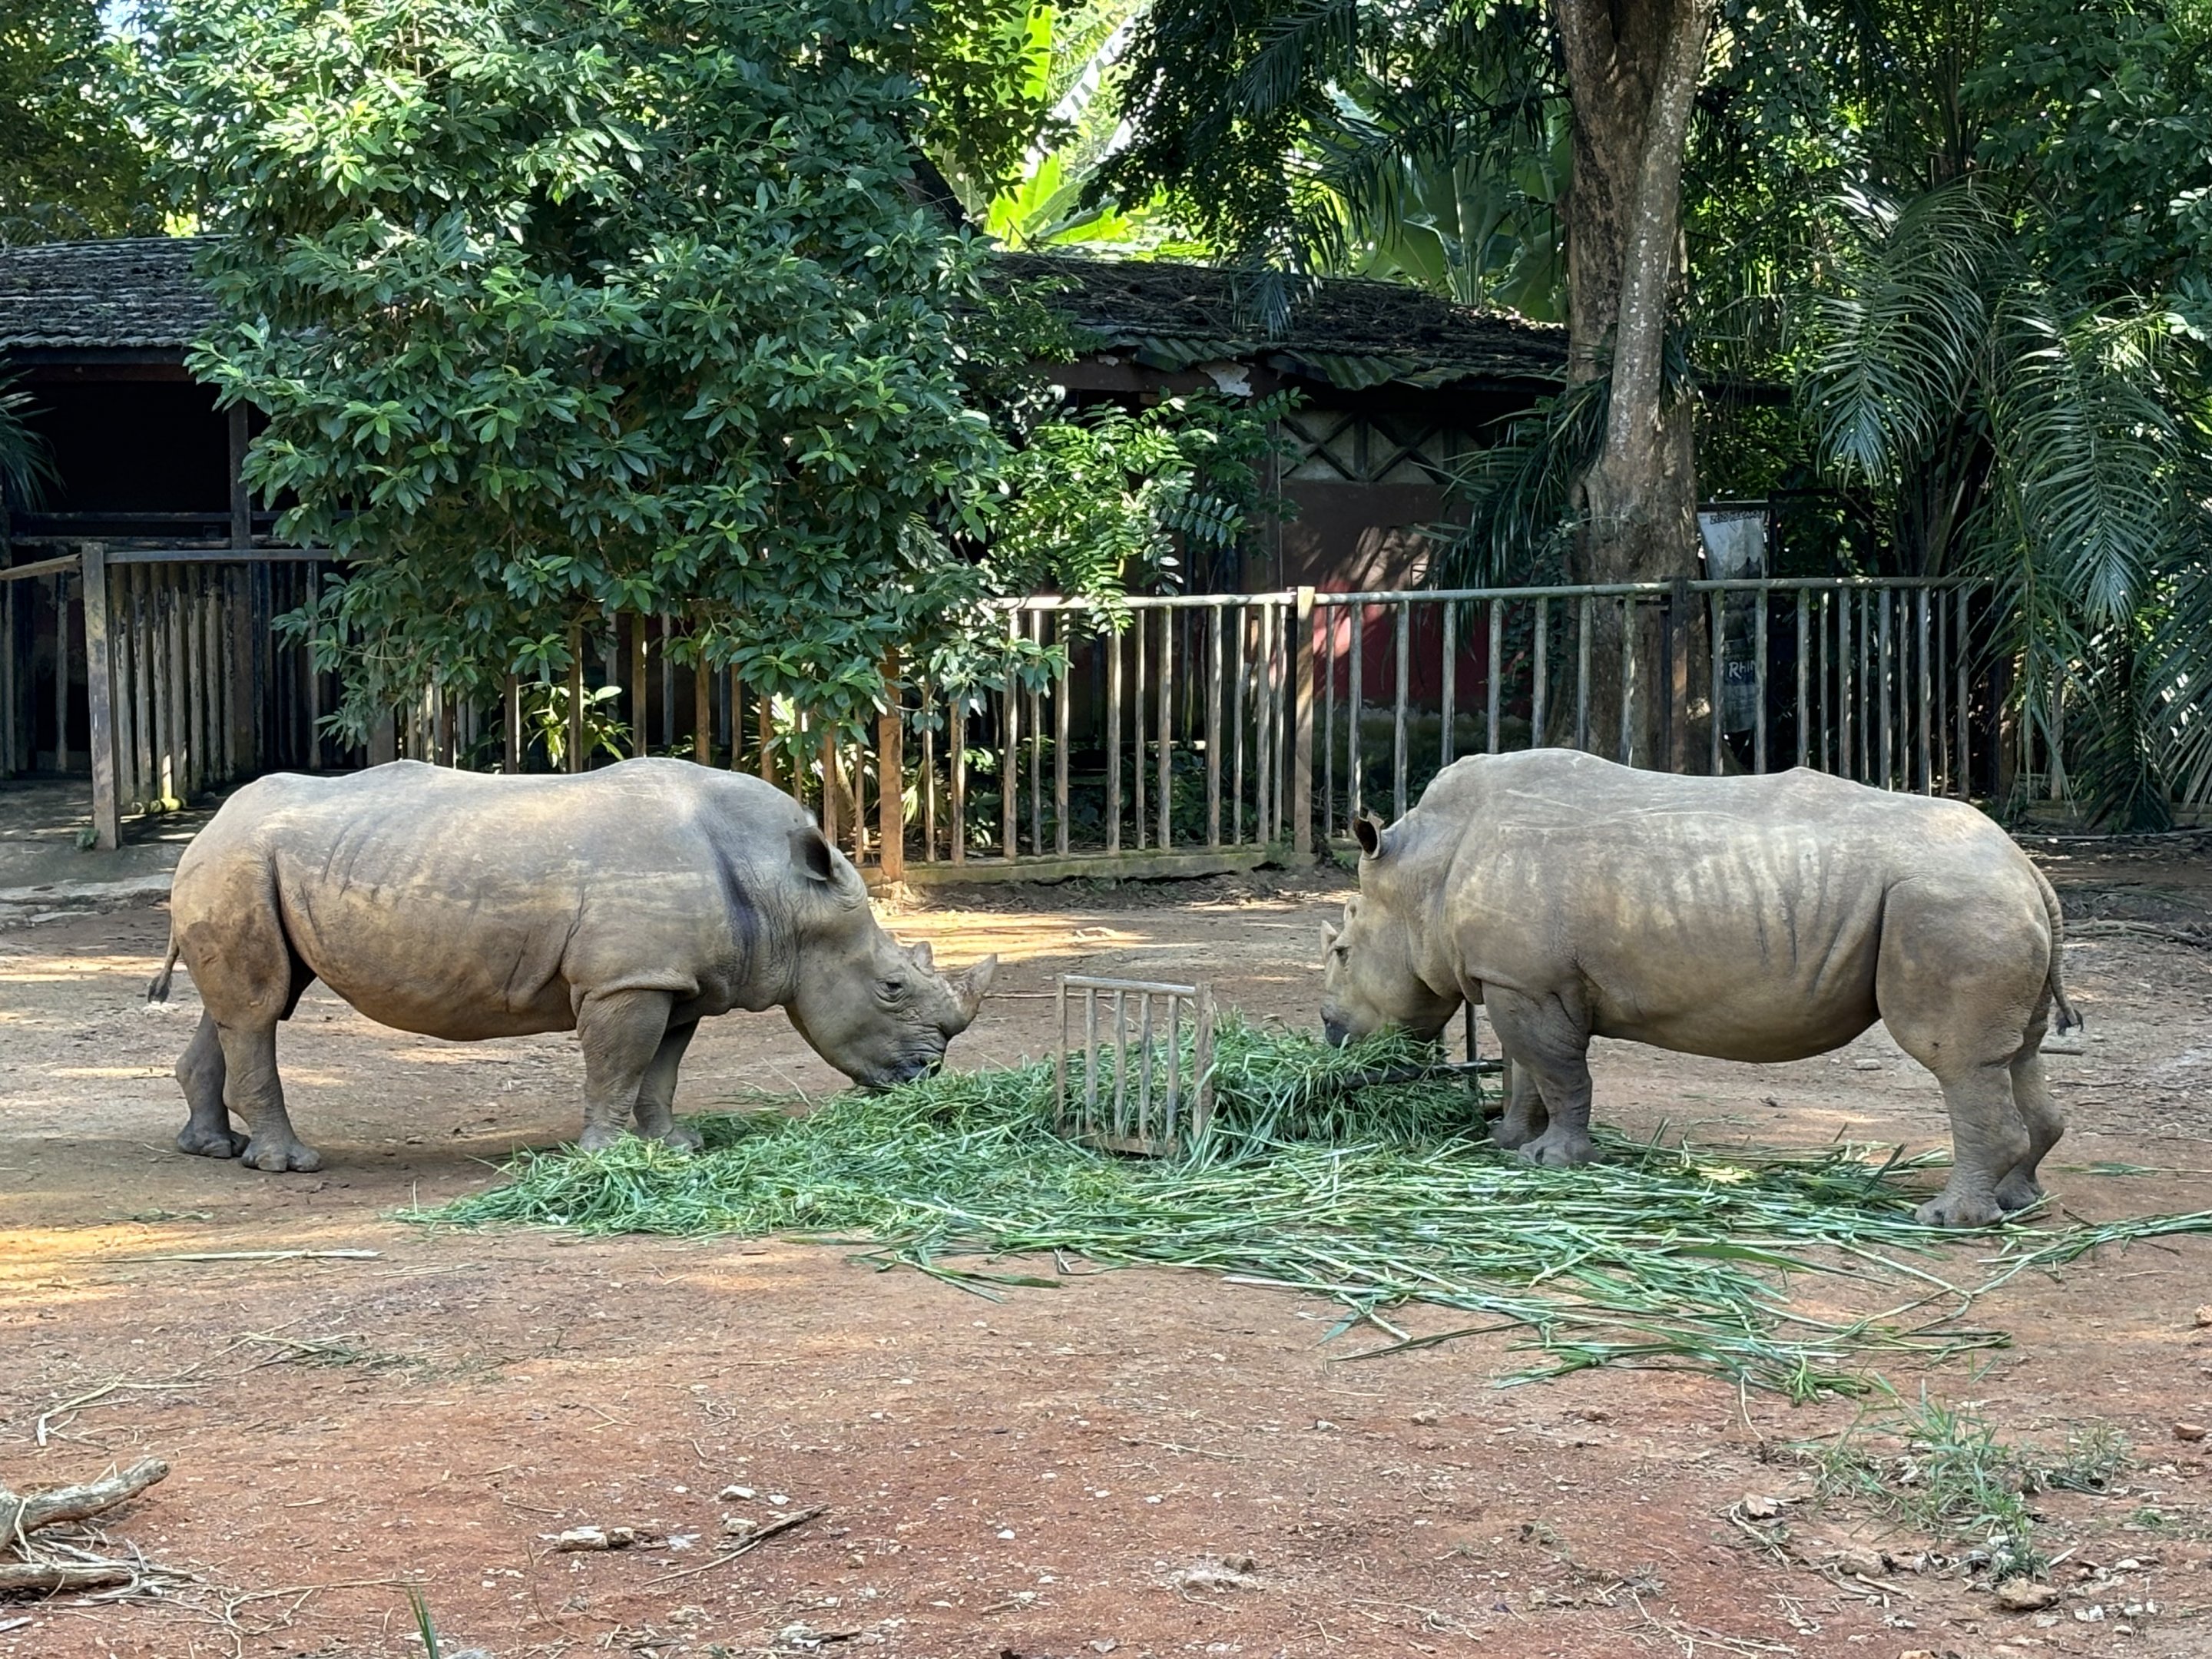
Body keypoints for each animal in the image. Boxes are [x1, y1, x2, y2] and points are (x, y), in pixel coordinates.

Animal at [148, 759, 997, 1172]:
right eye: (891, 988)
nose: (926, 1076)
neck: (786, 891)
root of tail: (211, 824)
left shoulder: (675, 979)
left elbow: (662, 1070)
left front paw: (673, 1149)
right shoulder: (629, 978)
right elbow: (618, 1065)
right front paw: (609, 1157)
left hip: (252, 864)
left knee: (247, 1004)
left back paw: (213, 1150)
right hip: (240, 861)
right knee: (260, 1009)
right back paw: (290, 1166)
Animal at [1319, 749, 2077, 1228]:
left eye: (1342, 952)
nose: (1328, 1033)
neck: (1420, 871)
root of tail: (2028, 868)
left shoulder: (1528, 983)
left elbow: (1559, 1074)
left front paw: (1558, 1162)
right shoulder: (1518, 979)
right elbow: (1526, 1070)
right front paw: (1507, 1145)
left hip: (1949, 902)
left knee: (1959, 1062)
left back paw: (1948, 1220)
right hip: (1985, 901)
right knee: (2018, 1055)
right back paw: (2019, 1201)